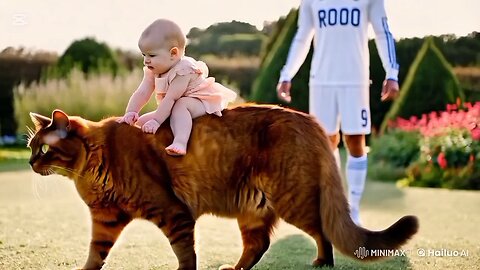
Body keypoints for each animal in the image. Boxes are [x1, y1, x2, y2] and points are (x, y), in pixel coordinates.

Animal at [28, 104, 418, 268]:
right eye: (31, 147)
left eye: (44, 148)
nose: (31, 162)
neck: (91, 169)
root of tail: (312, 121)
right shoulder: (106, 221)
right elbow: (95, 256)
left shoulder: (173, 213)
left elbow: (186, 256)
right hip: (254, 208)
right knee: (258, 245)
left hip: (293, 200)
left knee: (322, 232)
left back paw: (322, 262)